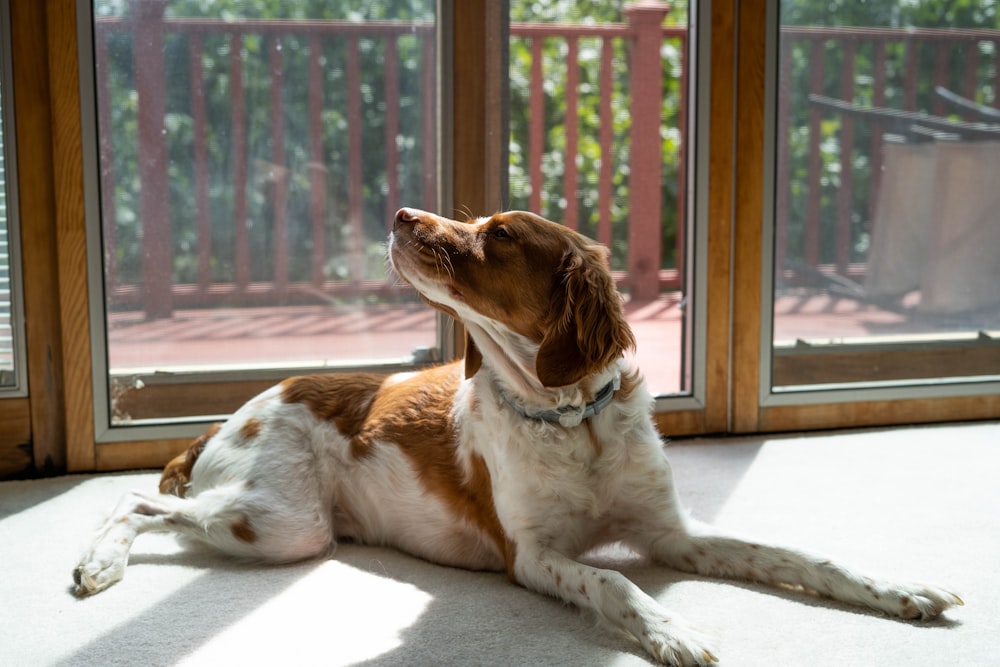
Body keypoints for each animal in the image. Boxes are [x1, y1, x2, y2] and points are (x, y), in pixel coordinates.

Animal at [74, 207, 964, 664]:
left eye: (497, 233)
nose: (401, 211)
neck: (571, 418)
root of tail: (238, 408)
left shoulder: (672, 531)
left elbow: (801, 555)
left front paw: (903, 590)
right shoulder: (531, 556)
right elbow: (614, 583)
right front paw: (674, 630)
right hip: (282, 523)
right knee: (133, 500)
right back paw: (95, 564)